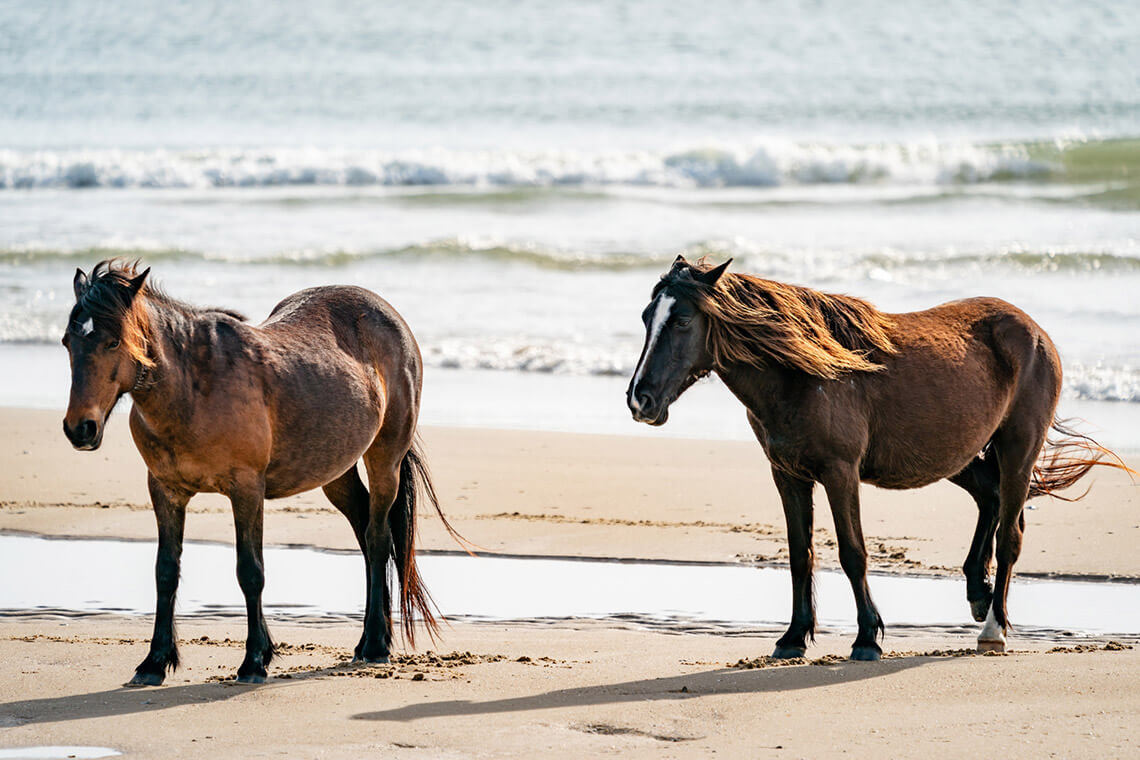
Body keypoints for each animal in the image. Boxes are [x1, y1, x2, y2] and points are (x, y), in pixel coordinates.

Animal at [62, 259, 461, 684]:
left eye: (113, 342)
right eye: (68, 342)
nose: (80, 428)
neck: (194, 387)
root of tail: (390, 317)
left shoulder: (247, 490)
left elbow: (250, 571)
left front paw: (254, 660)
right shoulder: (165, 490)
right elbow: (166, 572)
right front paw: (154, 662)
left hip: (385, 458)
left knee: (378, 538)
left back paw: (375, 645)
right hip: (336, 472)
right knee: (368, 537)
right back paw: (373, 638)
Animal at [627, 255, 1132, 660]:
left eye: (682, 321)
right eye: (648, 316)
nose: (640, 400)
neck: (804, 377)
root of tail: (1034, 331)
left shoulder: (840, 472)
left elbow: (853, 553)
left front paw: (867, 639)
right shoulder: (788, 475)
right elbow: (800, 554)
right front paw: (792, 638)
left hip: (1017, 450)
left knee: (1011, 534)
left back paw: (994, 629)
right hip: (957, 456)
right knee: (990, 500)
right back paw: (978, 592)